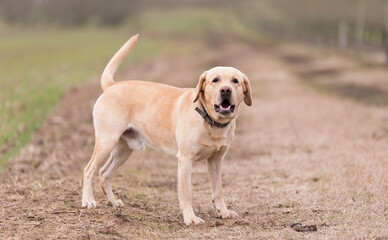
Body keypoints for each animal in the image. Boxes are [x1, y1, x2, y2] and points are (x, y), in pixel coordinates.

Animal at [81, 34, 252, 225]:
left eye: (235, 81)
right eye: (215, 80)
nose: (225, 90)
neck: (210, 121)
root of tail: (112, 85)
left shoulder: (216, 161)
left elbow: (218, 190)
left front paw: (223, 211)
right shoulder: (185, 160)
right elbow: (186, 193)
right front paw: (190, 218)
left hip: (123, 149)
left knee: (104, 173)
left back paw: (112, 201)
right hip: (106, 142)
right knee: (89, 170)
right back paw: (88, 201)